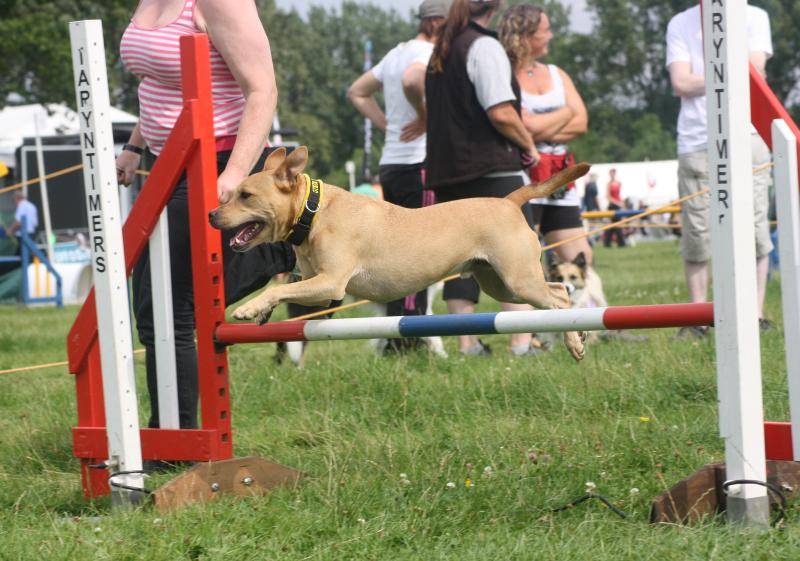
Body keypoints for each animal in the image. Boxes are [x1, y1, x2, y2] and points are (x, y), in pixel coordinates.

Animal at [209, 147, 592, 360]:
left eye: (245, 195)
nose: (212, 214)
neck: (313, 210)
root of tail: (509, 201)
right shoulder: (316, 287)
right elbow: (284, 286)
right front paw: (262, 311)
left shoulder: (331, 283)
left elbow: (281, 287)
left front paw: (248, 308)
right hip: (499, 283)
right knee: (559, 290)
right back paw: (579, 334)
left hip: (518, 278)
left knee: (558, 300)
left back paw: (574, 341)